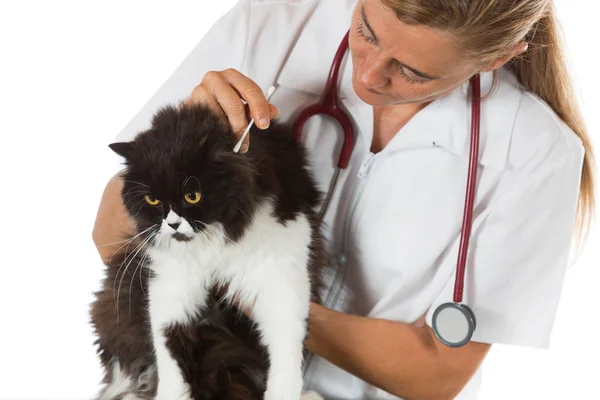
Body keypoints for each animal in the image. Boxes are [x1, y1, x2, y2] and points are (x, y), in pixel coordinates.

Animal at [90, 104, 328, 400]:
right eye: (152, 199)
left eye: (193, 196)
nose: (173, 224)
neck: (211, 245)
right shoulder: (171, 289)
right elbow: (170, 360)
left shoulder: (279, 275)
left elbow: (286, 353)